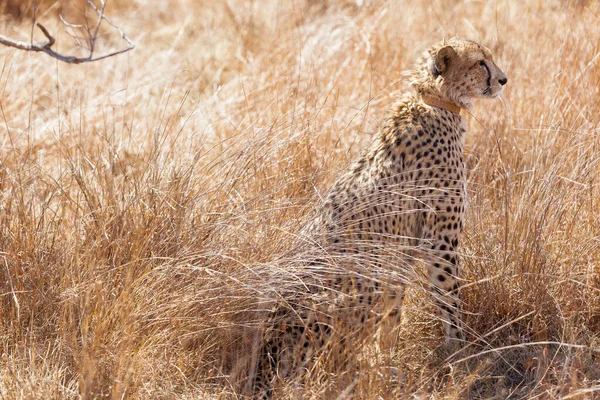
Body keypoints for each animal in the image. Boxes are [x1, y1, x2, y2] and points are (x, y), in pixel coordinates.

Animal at [251, 36, 508, 396]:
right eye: (480, 62)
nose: (503, 80)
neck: (434, 100)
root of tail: (266, 353)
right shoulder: (439, 243)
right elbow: (450, 300)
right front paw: (463, 354)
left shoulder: (399, 264)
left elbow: (392, 327)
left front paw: (391, 367)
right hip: (360, 284)